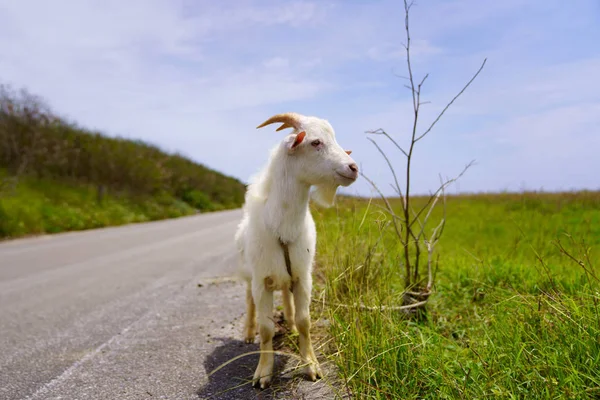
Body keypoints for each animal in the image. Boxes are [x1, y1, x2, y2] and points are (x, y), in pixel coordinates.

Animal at [233, 111, 356, 388]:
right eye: (315, 142)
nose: (353, 168)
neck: (283, 229)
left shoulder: (302, 277)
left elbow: (304, 322)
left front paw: (311, 365)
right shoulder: (261, 280)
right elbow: (266, 328)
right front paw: (263, 373)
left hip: (286, 275)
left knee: (287, 299)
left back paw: (287, 323)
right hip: (249, 277)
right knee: (249, 302)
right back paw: (248, 333)